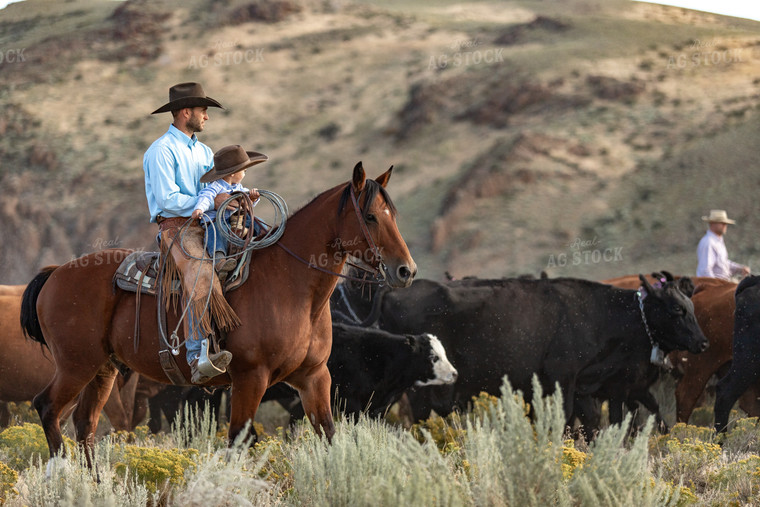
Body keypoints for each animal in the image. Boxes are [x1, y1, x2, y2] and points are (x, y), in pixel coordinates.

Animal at [19, 164, 416, 464]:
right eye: (370, 216)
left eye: (395, 215)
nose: (406, 271)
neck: (292, 288)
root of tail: (55, 272)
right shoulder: (250, 378)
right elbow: (238, 441)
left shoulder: (314, 377)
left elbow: (328, 434)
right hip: (75, 365)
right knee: (48, 408)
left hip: (103, 368)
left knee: (85, 423)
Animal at [336, 274, 708, 424]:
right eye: (677, 310)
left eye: (691, 306)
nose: (702, 342)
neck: (595, 313)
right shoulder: (561, 379)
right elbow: (565, 417)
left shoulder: (587, 387)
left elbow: (592, 422)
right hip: (419, 386)